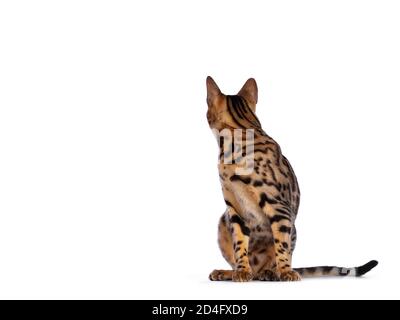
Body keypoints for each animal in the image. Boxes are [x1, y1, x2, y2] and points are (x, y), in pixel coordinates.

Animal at [206, 76, 378, 282]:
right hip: (223, 221)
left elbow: (282, 245)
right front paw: (241, 271)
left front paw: (286, 271)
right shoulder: (234, 208)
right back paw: (231, 272)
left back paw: (271, 272)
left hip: (292, 226)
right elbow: (239, 245)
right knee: (248, 266)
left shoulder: (279, 207)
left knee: (275, 259)